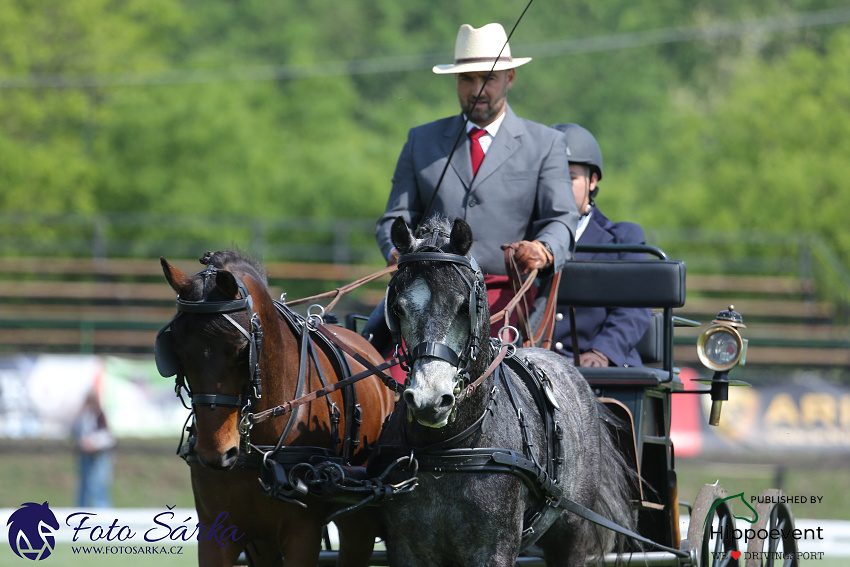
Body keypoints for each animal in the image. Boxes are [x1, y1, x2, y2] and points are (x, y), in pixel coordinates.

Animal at [157, 253, 394, 567]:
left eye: (241, 352)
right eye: (178, 353)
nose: (216, 453)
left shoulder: (302, 535)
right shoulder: (218, 534)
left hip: (359, 522)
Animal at [372, 216, 636, 567]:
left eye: (464, 307)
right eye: (398, 309)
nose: (430, 399)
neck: (448, 451)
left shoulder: (495, 549)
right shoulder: (405, 547)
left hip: (572, 532)